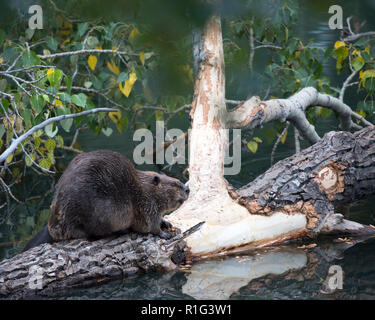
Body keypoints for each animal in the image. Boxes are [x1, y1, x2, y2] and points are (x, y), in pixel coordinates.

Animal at [23, 151, 189, 252]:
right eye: (175, 184)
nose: (187, 189)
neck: (144, 188)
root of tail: (51, 227)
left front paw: (167, 223)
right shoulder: (146, 205)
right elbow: (149, 225)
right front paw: (164, 234)